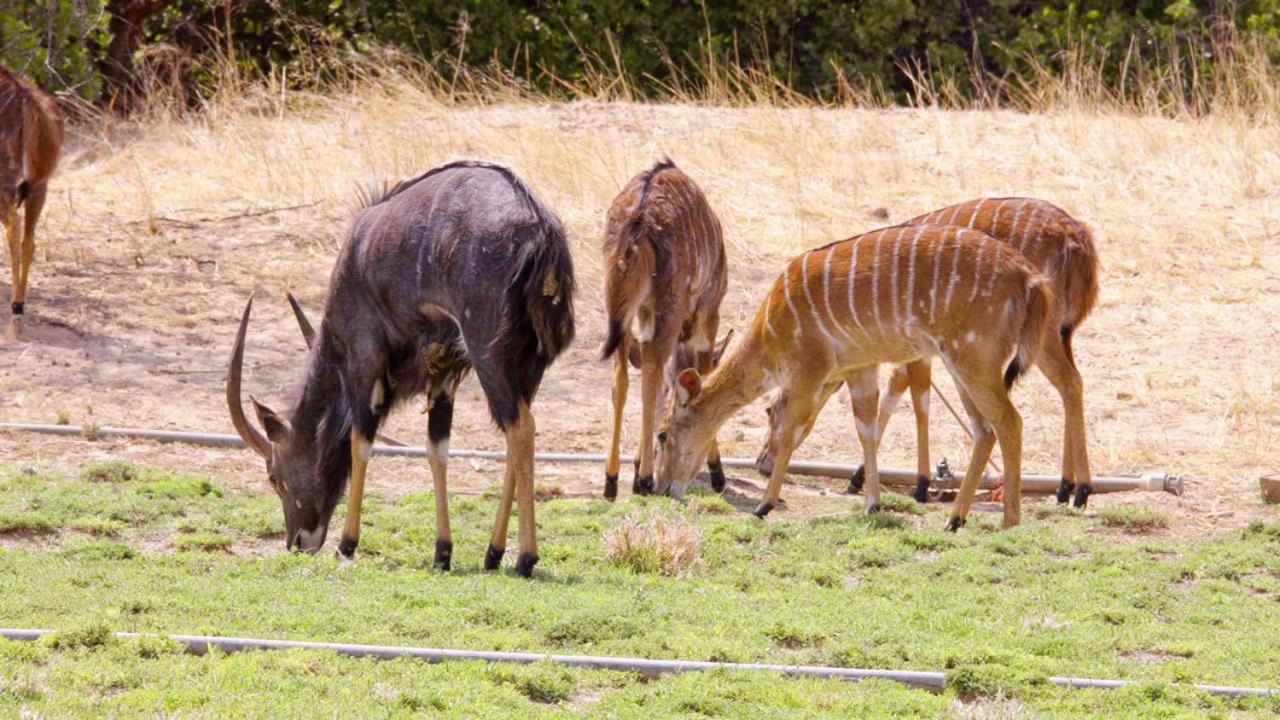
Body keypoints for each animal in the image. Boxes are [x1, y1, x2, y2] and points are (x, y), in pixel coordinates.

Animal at [225, 159, 576, 573]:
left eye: (274, 476)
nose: (297, 542)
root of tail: (541, 231)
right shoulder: (443, 373)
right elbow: (436, 448)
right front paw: (442, 551)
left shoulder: (366, 360)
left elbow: (361, 440)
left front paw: (348, 543)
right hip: (525, 368)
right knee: (516, 432)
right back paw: (493, 552)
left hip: (488, 355)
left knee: (520, 427)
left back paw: (525, 558)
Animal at [601, 160, 727, 499]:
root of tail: (637, 222)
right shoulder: (707, 318)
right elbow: (703, 375)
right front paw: (716, 470)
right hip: (671, 306)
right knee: (653, 371)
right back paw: (643, 479)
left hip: (622, 307)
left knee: (621, 378)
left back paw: (612, 479)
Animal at [655, 224, 1054, 527]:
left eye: (662, 433)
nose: (658, 488)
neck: (770, 333)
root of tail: (1030, 277)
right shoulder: (860, 367)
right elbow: (867, 428)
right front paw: (872, 505)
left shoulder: (809, 368)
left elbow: (789, 431)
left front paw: (764, 505)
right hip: (963, 362)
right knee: (984, 428)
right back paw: (954, 520)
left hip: (972, 357)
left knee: (1009, 420)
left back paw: (1008, 521)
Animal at [757, 197, 1100, 504]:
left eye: (770, 410)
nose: (762, 463)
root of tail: (1077, 236)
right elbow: (898, 394)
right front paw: (862, 478)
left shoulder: (918, 352)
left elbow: (916, 398)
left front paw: (917, 484)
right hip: (1058, 333)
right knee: (1072, 382)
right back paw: (1067, 488)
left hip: (1039, 336)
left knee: (1069, 382)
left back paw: (1078, 488)